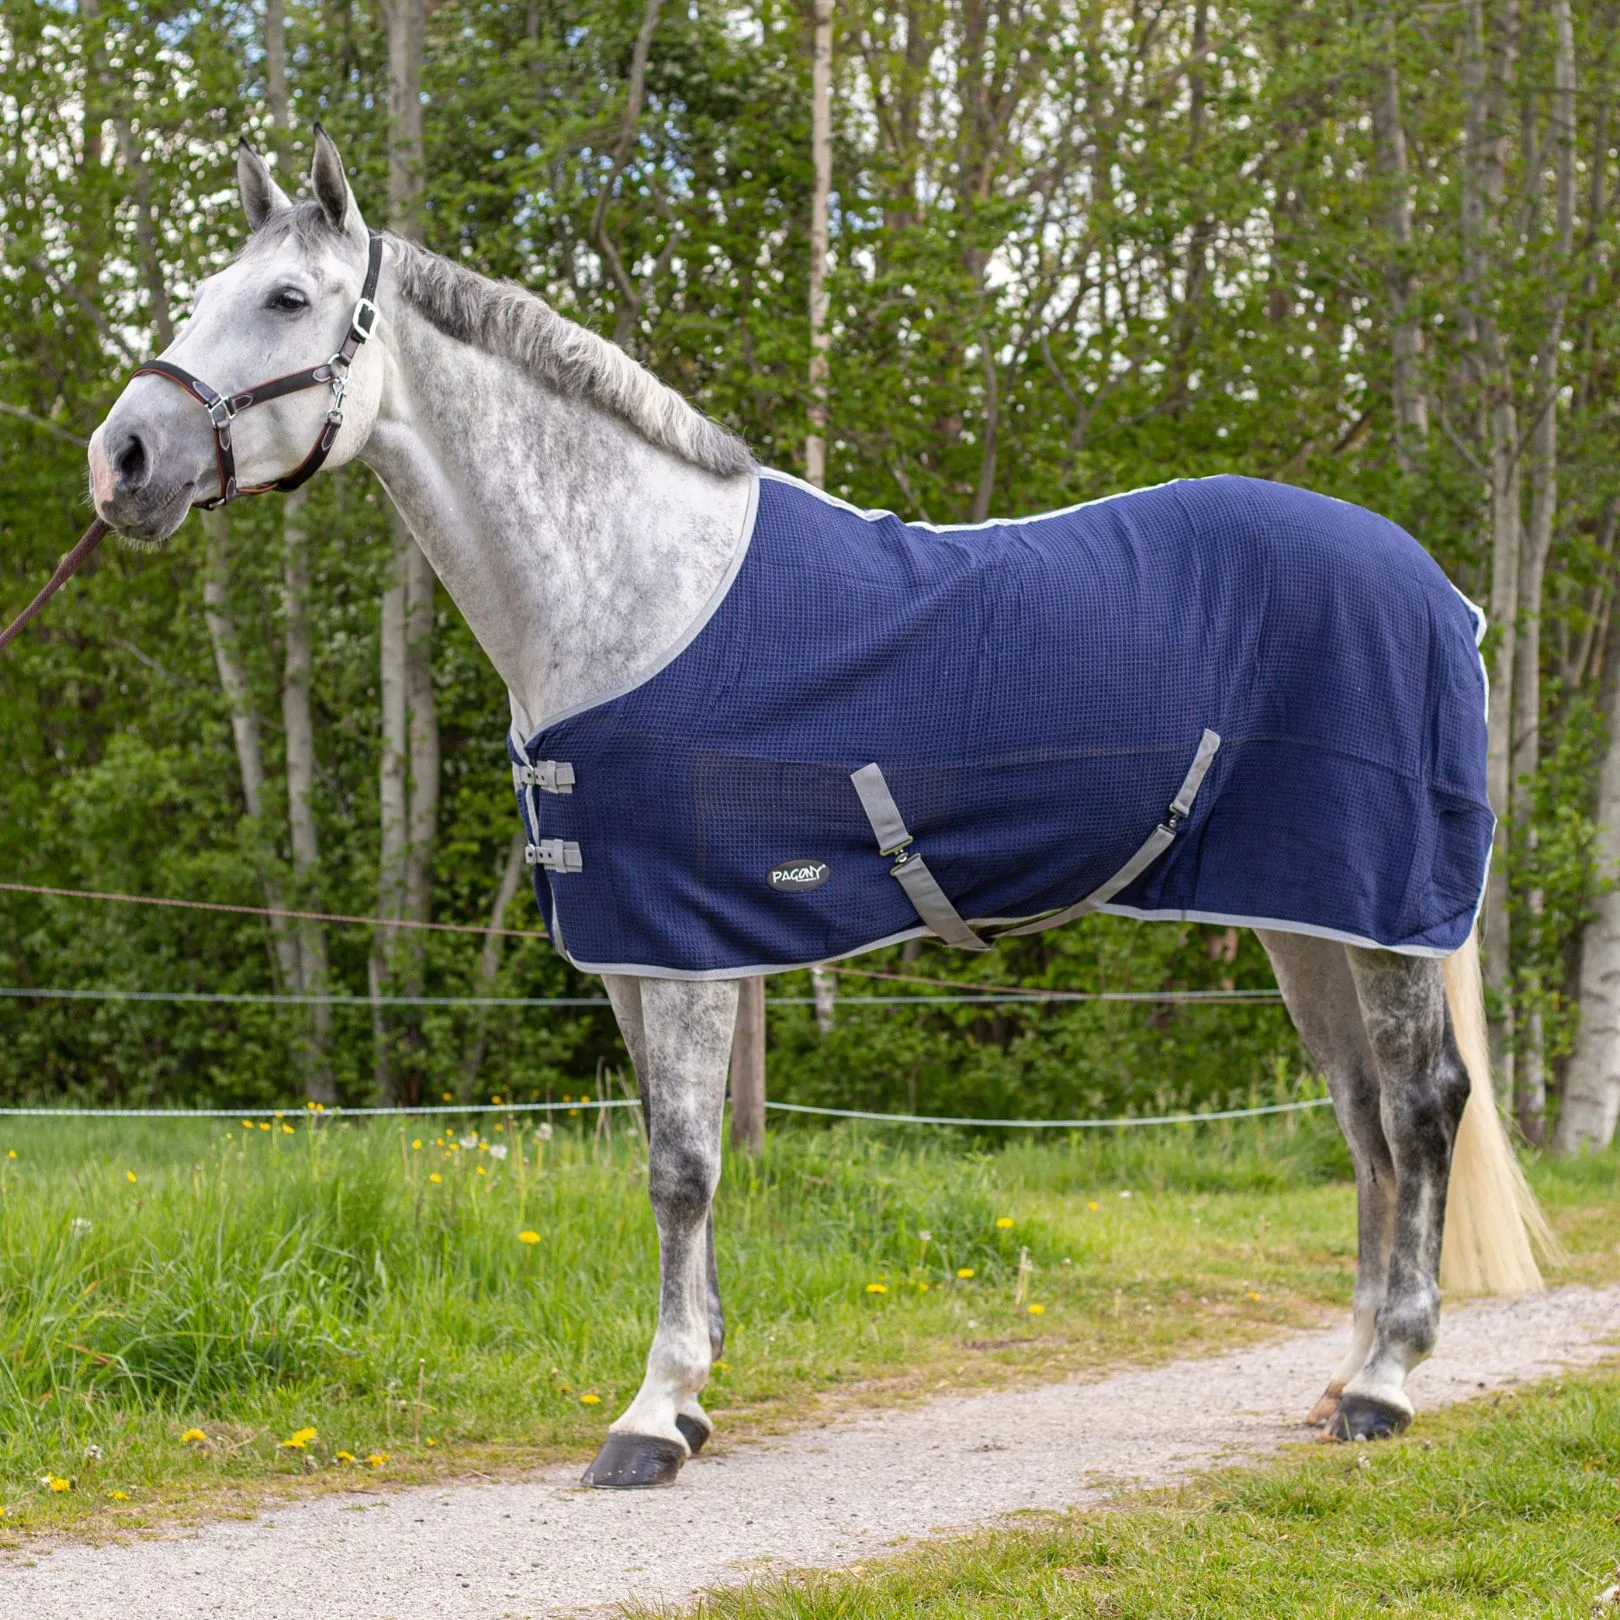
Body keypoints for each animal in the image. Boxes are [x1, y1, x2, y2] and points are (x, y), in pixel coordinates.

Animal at [86, 129, 1554, 1488]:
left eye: (285, 298)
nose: (124, 461)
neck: (636, 591)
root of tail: (1438, 590)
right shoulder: (639, 944)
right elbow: (670, 1163)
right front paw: (687, 1401)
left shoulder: (680, 946)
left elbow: (683, 1170)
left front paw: (648, 1422)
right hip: (1302, 914)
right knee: (1362, 1121)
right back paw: (1340, 1380)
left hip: (1379, 914)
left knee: (1420, 1108)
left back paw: (1386, 1387)